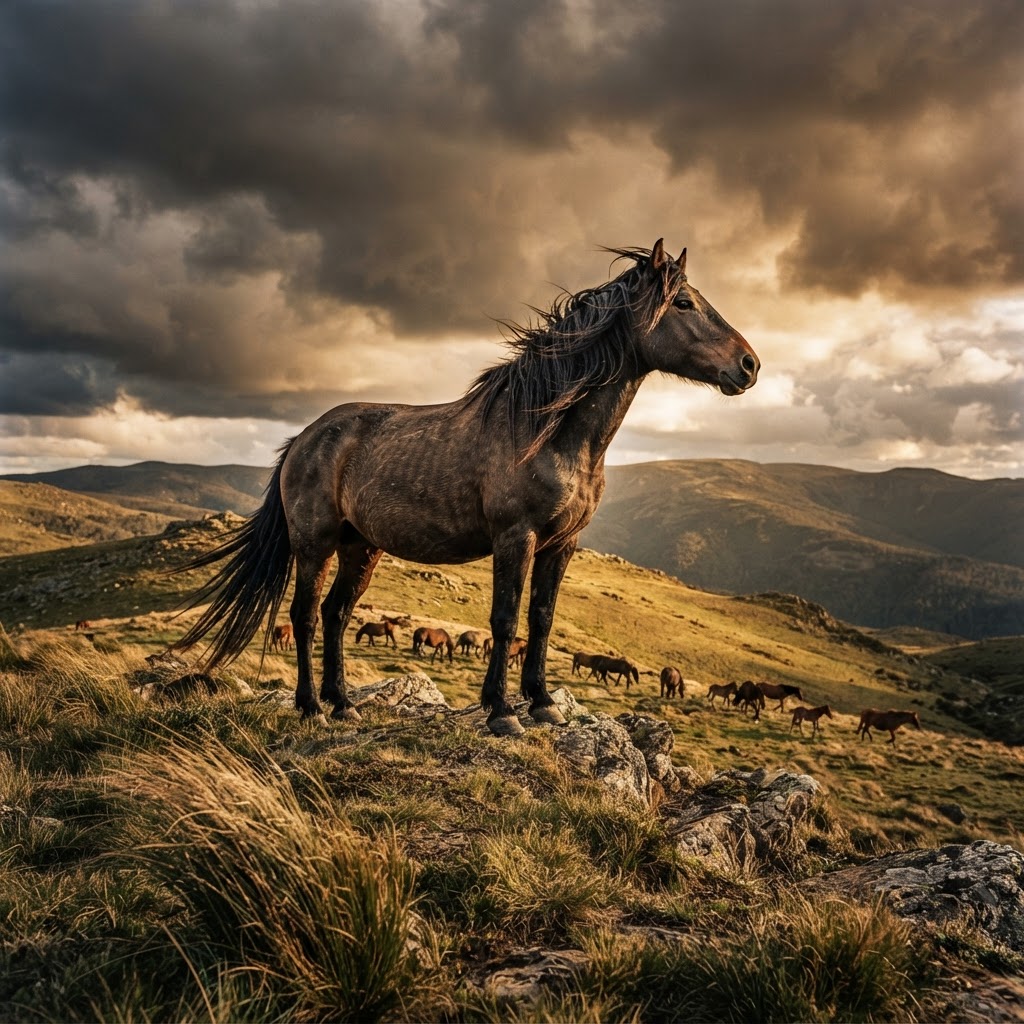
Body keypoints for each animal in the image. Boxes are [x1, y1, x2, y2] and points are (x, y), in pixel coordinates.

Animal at [172, 240, 758, 734]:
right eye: (683, 302)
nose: (750, 364)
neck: (549, 430)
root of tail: (303, 438)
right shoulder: (515, 538)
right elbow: (504, 620)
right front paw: (501, 712)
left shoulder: (562, 545)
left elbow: (541, 620)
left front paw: (542, 703)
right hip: (314, 544)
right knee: (306, 615)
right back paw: (312, 707)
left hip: (361, 548)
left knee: (336, 614)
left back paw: (343, 706)